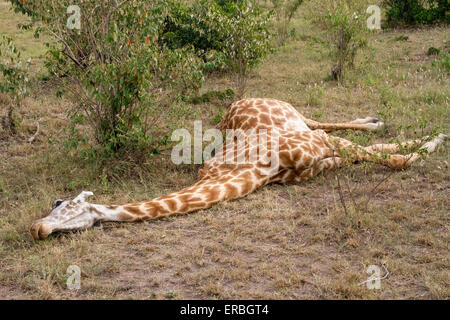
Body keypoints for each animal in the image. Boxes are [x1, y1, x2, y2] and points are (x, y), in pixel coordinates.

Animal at [29, 97, 446, 240]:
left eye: (58, 203)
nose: (37, 230)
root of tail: (236, 102)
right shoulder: (321, 160)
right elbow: (379, 155)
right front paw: (429, 140)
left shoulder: (314, 146)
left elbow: (395, 159)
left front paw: (436, 139)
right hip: (302, 124)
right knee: (334, 128)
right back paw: (375, 121)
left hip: (296, 115)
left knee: (324, 121)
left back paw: (380, 121)